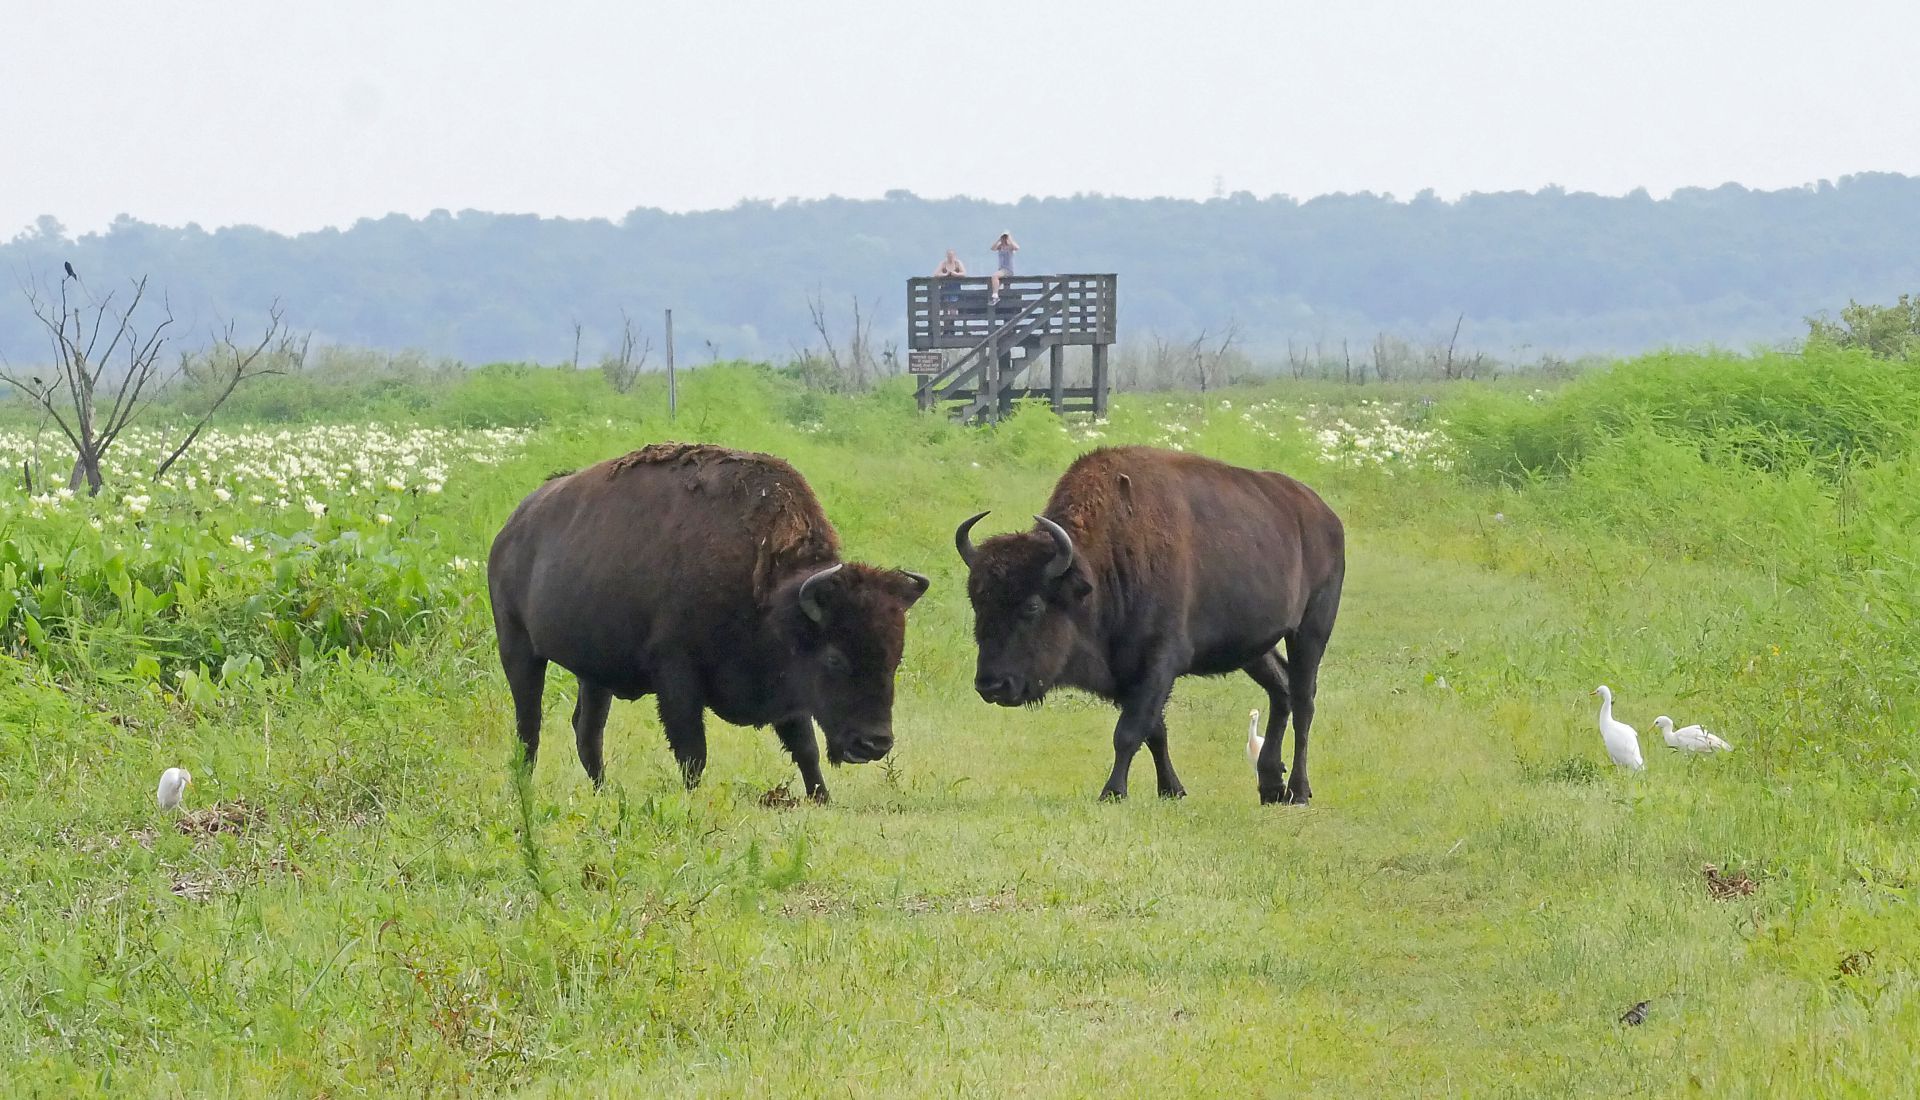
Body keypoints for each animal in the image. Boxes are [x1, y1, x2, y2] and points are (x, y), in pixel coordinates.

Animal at [488, 442, 928, 801]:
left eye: (896, 657)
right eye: (834, 657)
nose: (875, 743)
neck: (769, 593)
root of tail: (510, 531)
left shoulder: (789, 694)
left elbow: (805, 747)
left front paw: (822, 798)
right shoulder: (677, 675)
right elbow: (692, 751)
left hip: (594, 674)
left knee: (587, 731)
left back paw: (603, 792)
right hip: (519, 650)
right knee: (529, 727)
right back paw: (526, 788)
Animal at [955, 446, 1344, 804]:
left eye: (1032, 605)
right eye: (977, 602)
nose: (991, 685)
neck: (1098, 568)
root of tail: (1326, 516)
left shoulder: (1159, 662)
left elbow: (1129, 732)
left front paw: (1112, 792)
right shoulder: (1128, 673)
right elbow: (1155, 731)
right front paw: (1172, 790)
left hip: (1311, 630)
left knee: (1303, 701)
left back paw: (1299, 790)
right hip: (1256, 647)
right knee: (1281, 689)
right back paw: (1271, 787)